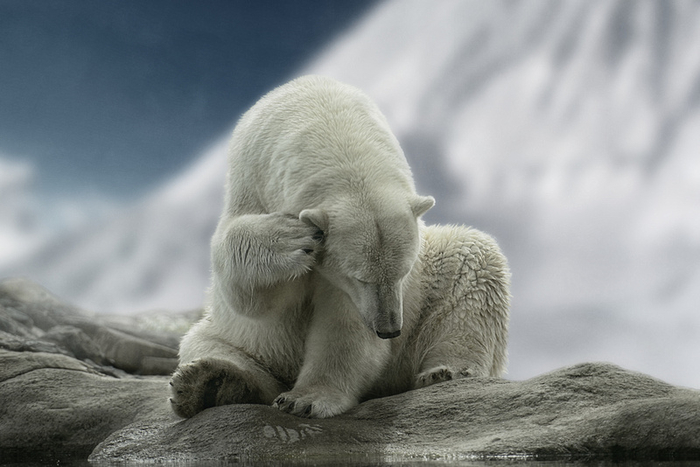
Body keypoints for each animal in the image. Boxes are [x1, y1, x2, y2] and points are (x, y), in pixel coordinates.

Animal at [168, 77, 508, 420]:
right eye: (359, 277)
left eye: (404, 273)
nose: (388, 330)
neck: (324, 112)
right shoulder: (251, 178)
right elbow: (251, 296)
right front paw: (290, 240)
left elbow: (342, 324)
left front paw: (306, 399)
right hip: (239, 337)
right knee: (204, 345)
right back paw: (209, 383)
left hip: (426, 296)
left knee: (474, 262)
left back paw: (446, 371)